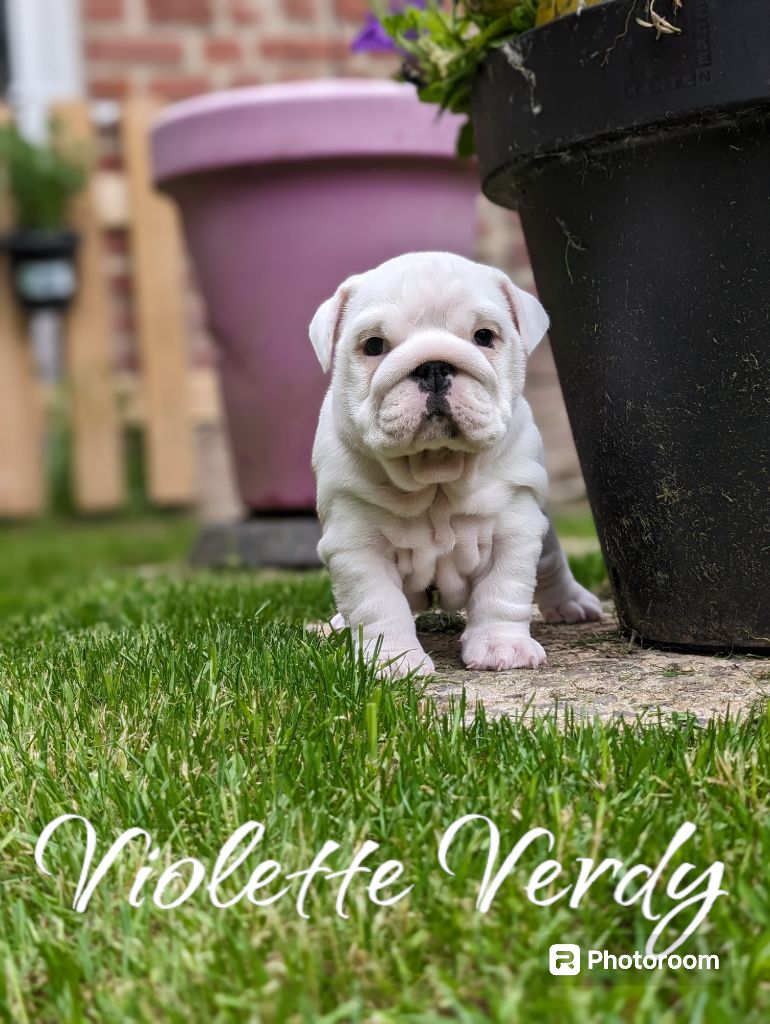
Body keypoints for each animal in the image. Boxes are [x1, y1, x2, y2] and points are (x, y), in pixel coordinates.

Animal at [309, 252, 602, 676]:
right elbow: (377, 605)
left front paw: (502, 647)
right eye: (374, 345)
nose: (433, 367)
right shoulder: (356, 544)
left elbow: (503, 591)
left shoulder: (514, 530)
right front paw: (393, 661)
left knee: (551, 564)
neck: (436, 472)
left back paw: (571, 602)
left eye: (484, 337)